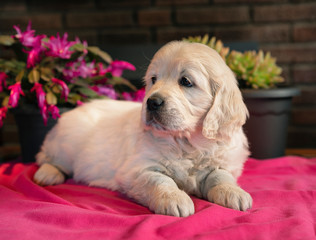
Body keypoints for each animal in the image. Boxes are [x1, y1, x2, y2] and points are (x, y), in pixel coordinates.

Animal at [34, 41, 252, 218]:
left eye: (186, 82)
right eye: (153, 79)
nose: (152, 102)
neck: (186, 143)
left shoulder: (223, 162)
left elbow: (220, 176)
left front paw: (234, 192)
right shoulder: (138, 170)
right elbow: (160, 181)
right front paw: (174, 198)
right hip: (66, 144)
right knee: (47, 158)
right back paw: (47, 174)